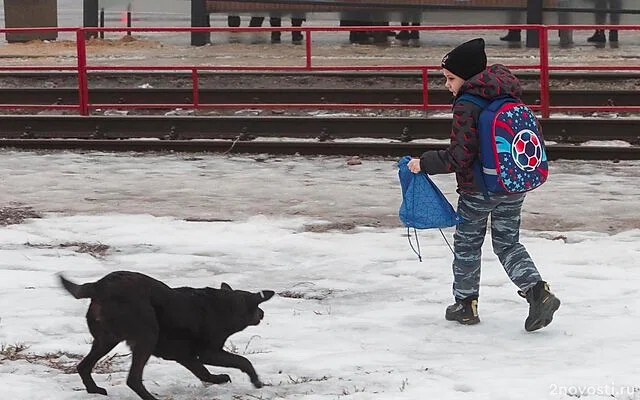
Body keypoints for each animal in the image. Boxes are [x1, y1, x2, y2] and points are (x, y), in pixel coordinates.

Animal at [57, 270, 272, 398]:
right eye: (257, 308)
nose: (262, 313)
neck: (225, 305)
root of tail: (99, 286)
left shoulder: (185, 355)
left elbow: (202, 371)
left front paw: (217, 379)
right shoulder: (208, 352)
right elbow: (243, 361)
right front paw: (256, 381)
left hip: (106, 340)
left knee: (83, 366)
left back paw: (94, 390)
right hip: (146, 337)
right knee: (133, 379)